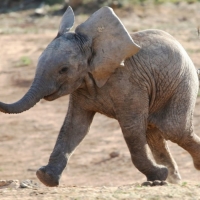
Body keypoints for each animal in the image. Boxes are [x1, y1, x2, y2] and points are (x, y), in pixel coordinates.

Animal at [0, 6, 200, 188]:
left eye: (63, 69)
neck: (92, 46)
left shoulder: (129, 84)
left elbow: (131, 128)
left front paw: (158, 175)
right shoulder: (81, 87)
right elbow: (74, 127)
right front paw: (45, 177)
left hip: (182, 82)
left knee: (173, 129)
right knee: (154, 131)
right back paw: (173, 179)